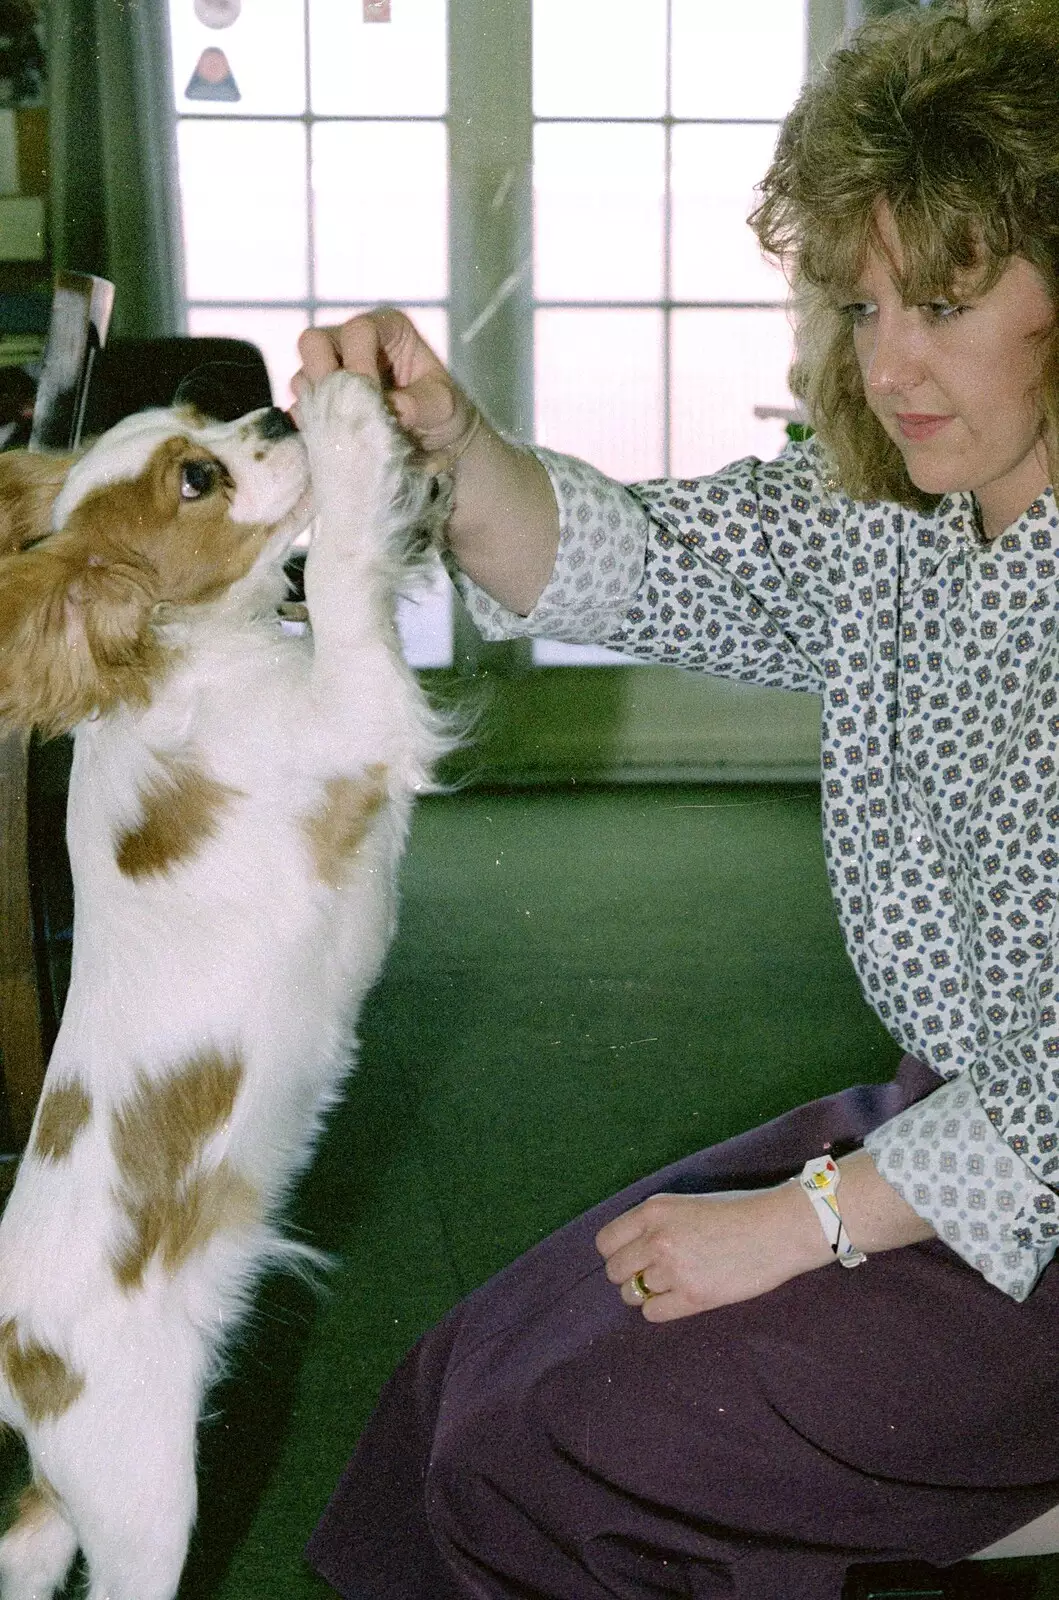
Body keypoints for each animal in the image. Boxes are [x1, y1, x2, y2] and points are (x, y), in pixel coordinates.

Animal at [0, 371, 447, 1600]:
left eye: (202, 414)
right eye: (197, 479)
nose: (275, 413)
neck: (196, 658)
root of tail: (14, 1351)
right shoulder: (350, 722)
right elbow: (339, 580)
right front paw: (349, 433)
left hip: (72, 1494)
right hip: (143, 1498)